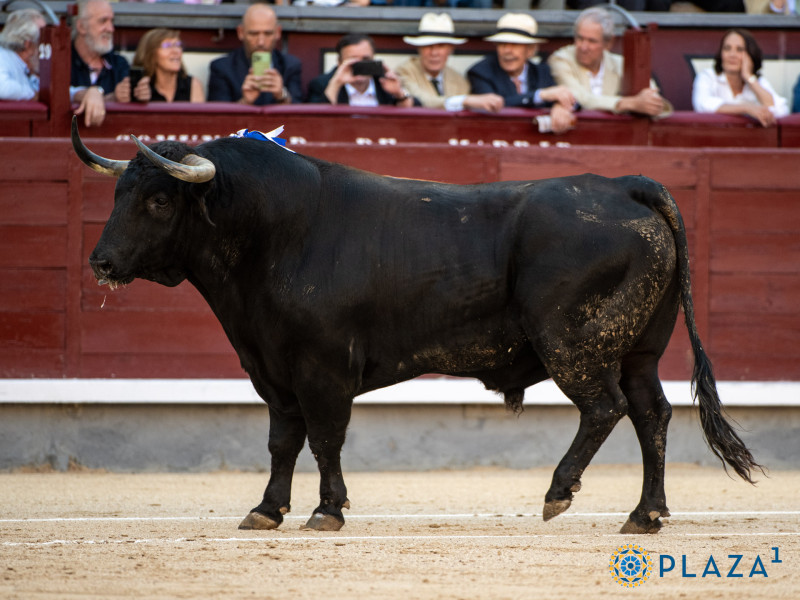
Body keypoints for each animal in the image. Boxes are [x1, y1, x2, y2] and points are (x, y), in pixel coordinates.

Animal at [72, 118, 760, 536]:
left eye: (160, 199)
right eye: (117, 195)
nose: (101, 262)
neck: (273, 232)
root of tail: (626, 184)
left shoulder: (322, 368)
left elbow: (325, 438)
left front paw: (327, 510)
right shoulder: (271, 369)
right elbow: (282, 441)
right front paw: (266, 510)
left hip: (574, 343)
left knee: (604, 408)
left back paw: (559, 492)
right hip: (639, 348)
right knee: (651, 414)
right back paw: (646, 514)